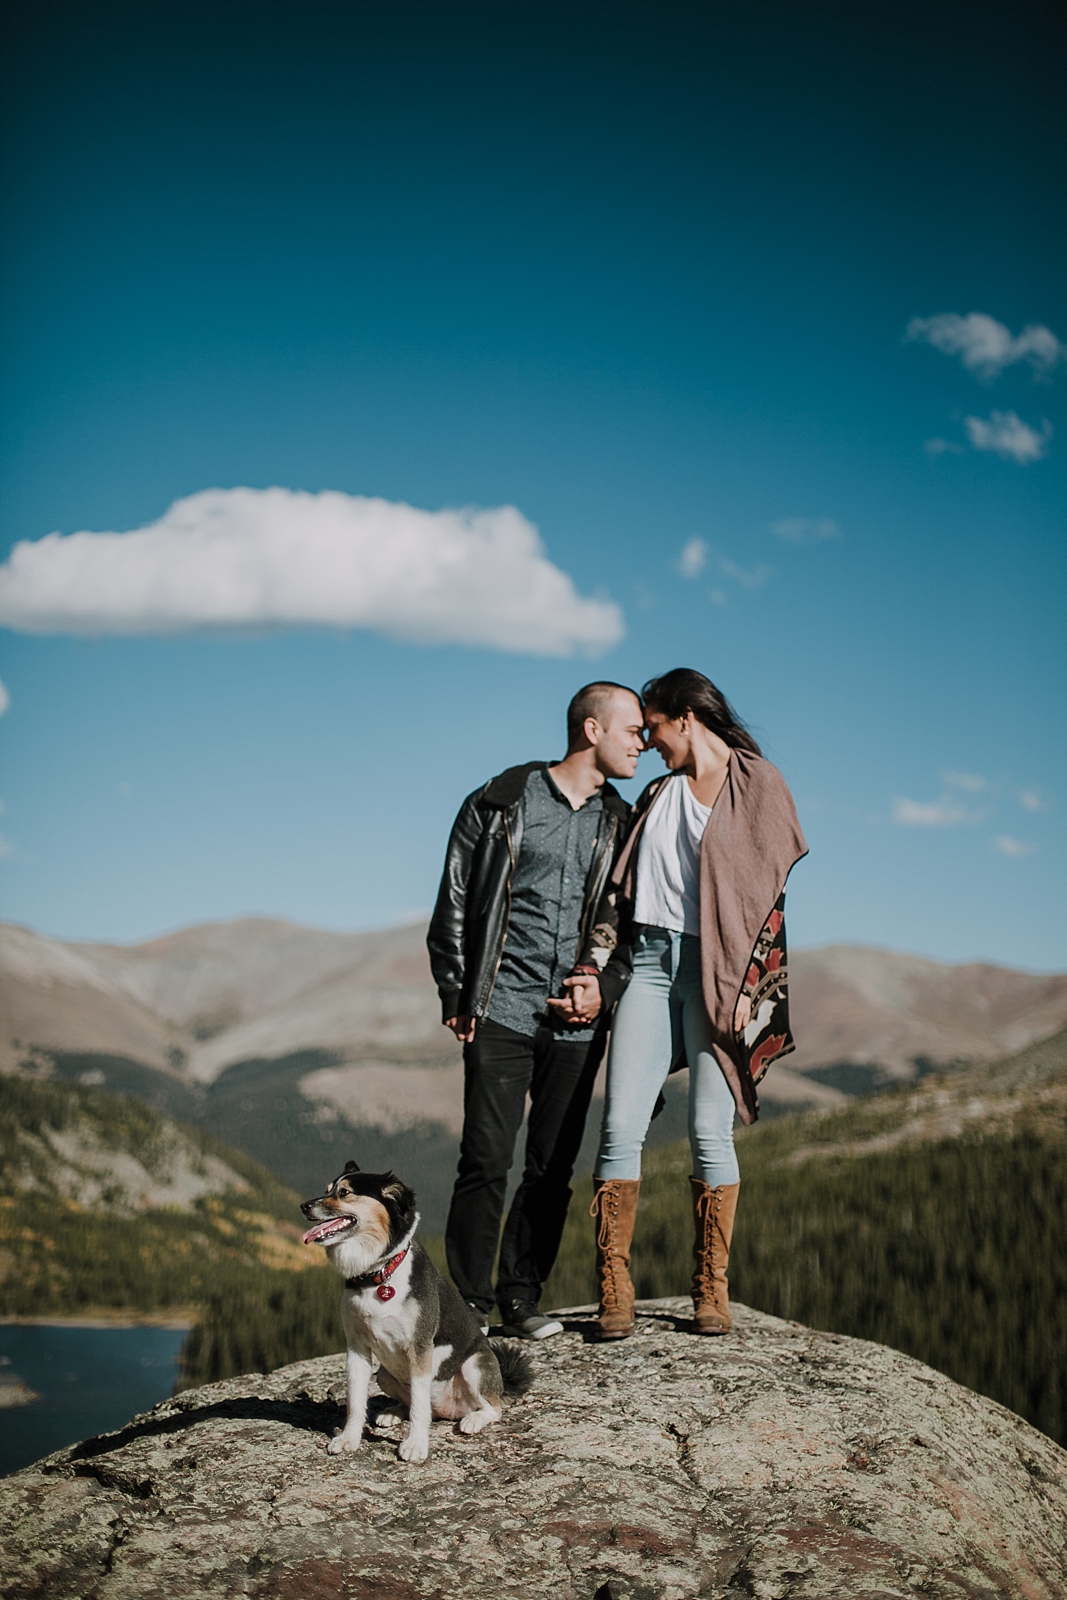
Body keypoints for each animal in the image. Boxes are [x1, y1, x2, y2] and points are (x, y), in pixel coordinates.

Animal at [300, 1164, 534, 1465]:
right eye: (328, 1189)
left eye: (345, 1193)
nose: (304, 1206)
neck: (379, 1274)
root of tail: (449, 1411)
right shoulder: (357, 1348)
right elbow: (355, 1401)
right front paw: (349, 1439)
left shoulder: (420, 1348)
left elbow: (420, 1407)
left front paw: (416, 1445)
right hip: (384, 1374)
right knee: (410, 1402)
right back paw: (392, 1413)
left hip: (475, 1365)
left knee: (492, 1408)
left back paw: (473, 1420)